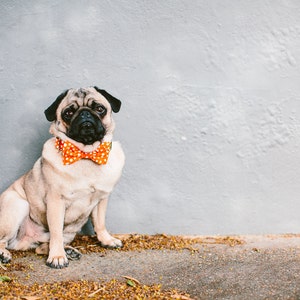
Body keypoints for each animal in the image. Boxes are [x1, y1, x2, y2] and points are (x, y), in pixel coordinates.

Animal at [0, 85, 125, 268]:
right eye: (68, 113)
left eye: (99, 108)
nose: (84, 114)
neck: (85, 154)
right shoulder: (56, 201)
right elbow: (56, 232)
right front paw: (57, 257)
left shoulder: (101, 199)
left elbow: (100, 223)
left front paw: (106, 240)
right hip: (17, 205)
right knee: (4, 241)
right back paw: (4, 254)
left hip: (69, 232)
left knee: (41, 247)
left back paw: (69, 251)